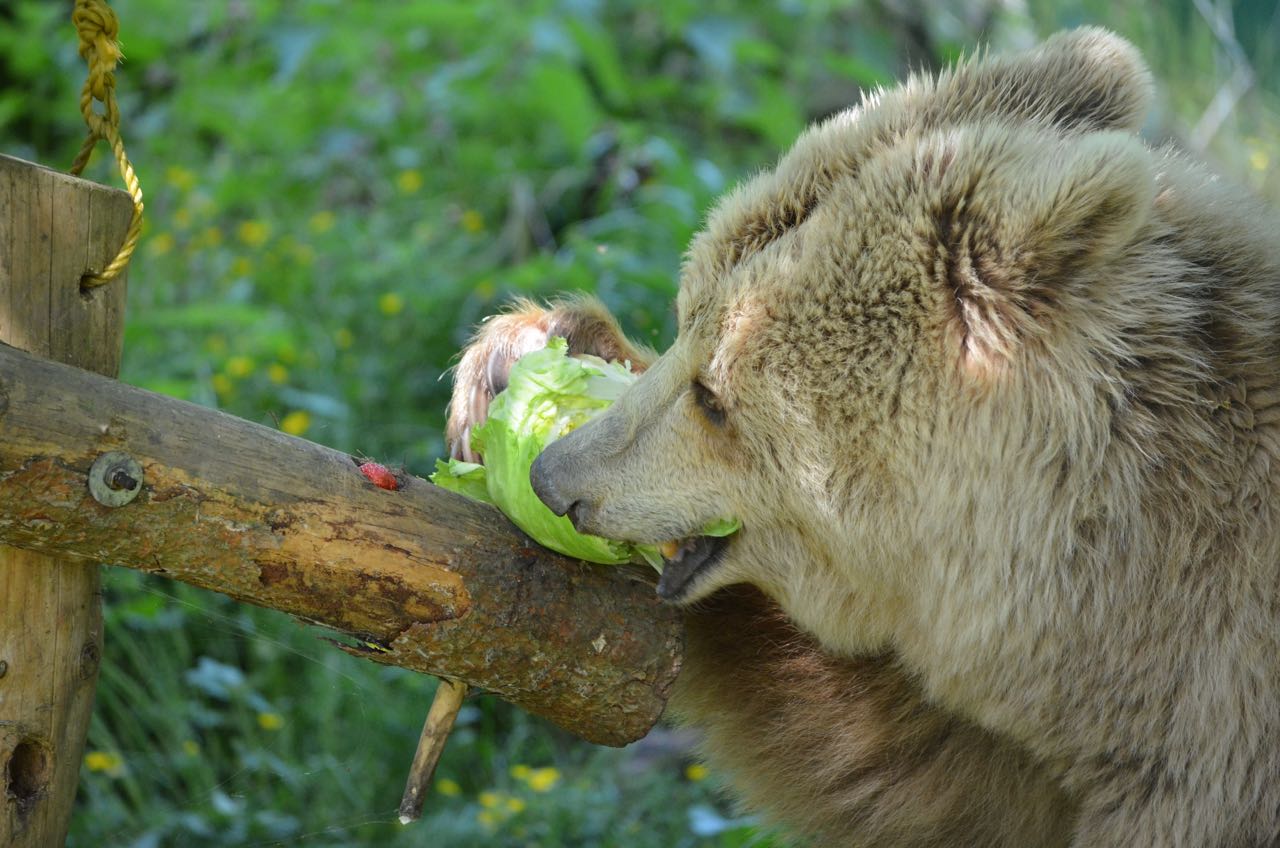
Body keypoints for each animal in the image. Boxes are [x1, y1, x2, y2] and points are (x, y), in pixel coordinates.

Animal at [446, 28, 1280, 847]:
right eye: (683, 320)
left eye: (714, 398)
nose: (556, 477)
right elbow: (910, 763)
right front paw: (519, 357)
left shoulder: (1210, 736)